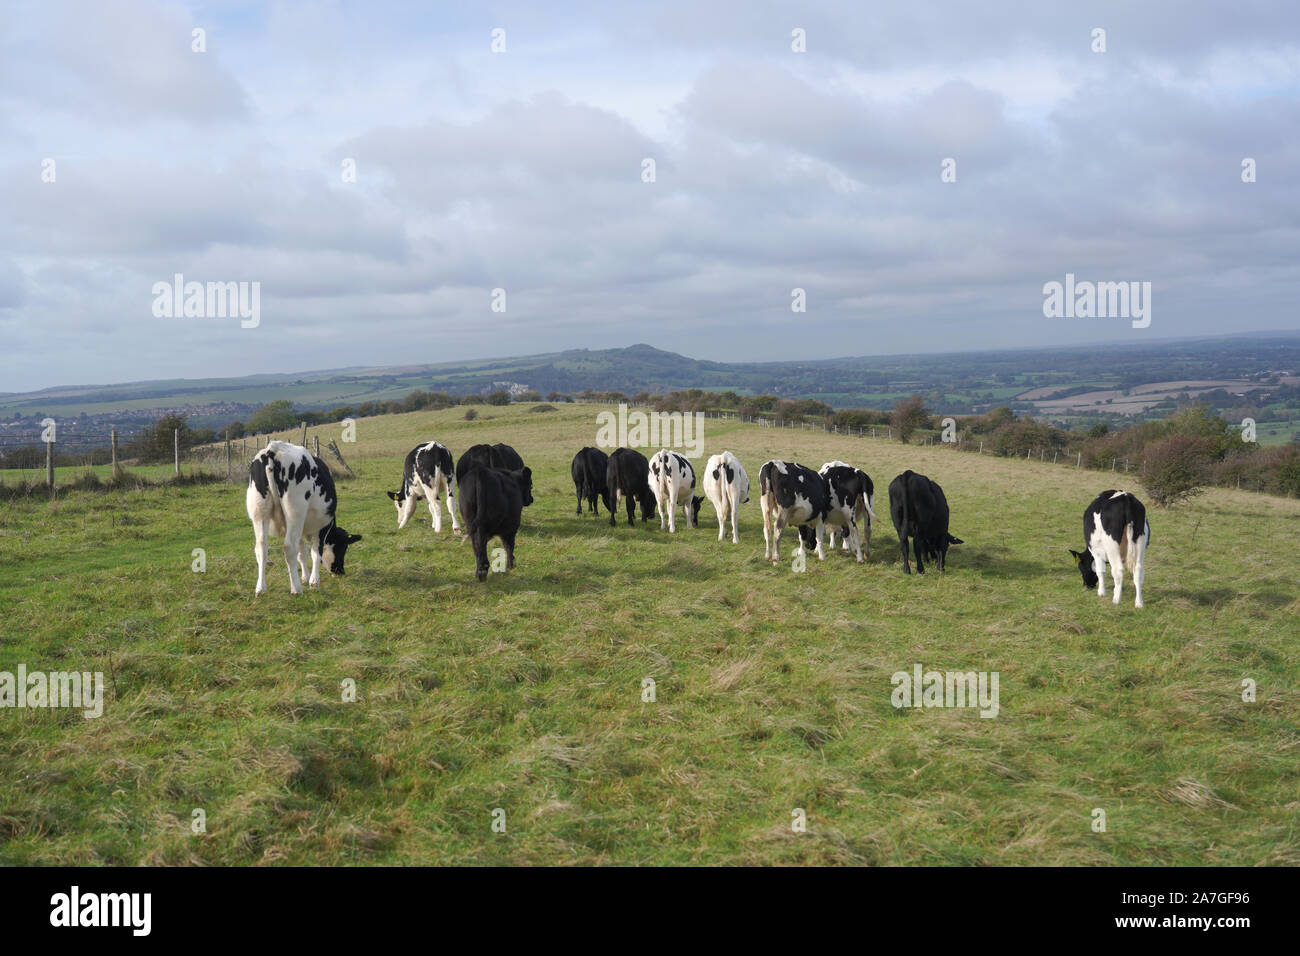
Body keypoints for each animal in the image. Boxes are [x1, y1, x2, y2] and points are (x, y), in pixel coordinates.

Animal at [246, 440, 361, 595]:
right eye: (343, 547)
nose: (340, 571)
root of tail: (273, 449)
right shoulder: (323, 525)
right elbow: (316, 552)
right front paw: (314, 581)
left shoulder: (301, 526)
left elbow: (302, 552)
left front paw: (305, 577)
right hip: (295, 512)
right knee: (289, 547)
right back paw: (296, 588)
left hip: (260, 512)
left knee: (261, 547)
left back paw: (260, 588)